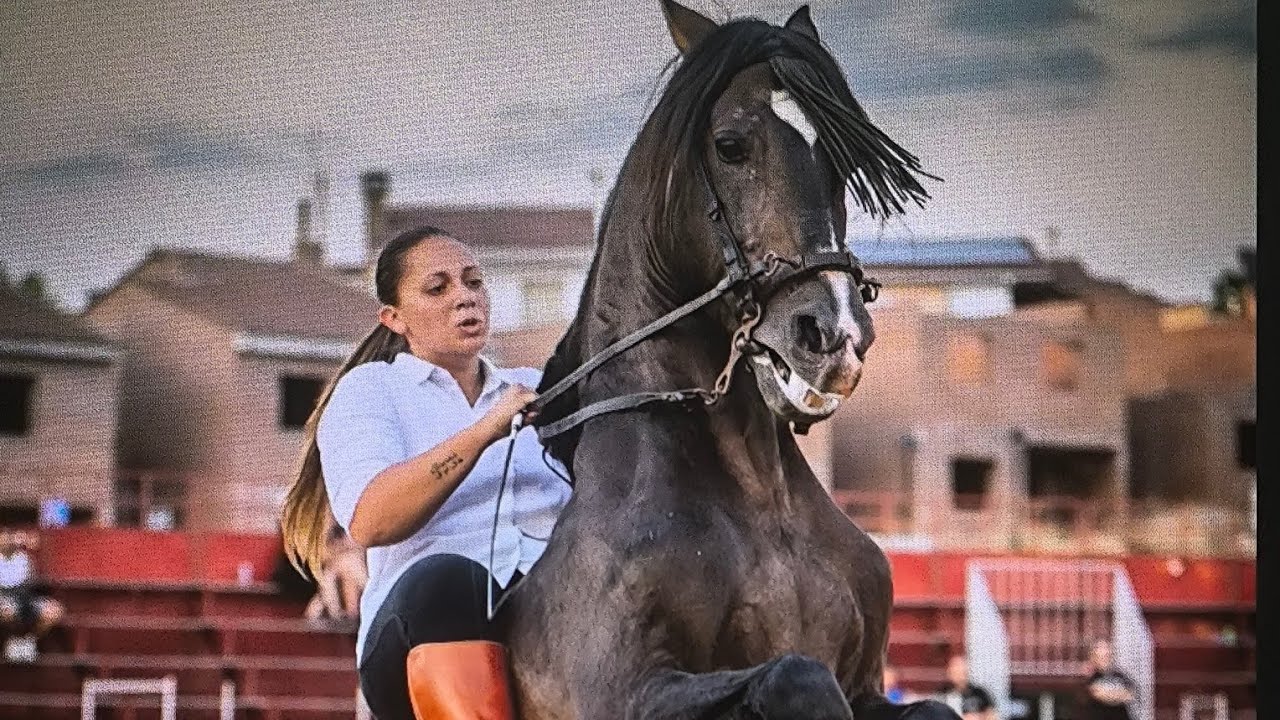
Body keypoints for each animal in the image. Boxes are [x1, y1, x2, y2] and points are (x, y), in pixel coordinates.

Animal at [499, 3, 957, 718]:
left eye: (840, 162)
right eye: (731, 145)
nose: (835, 334)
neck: (758, 502)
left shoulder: (867, 685)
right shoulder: (627, 692)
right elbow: (794, 673)